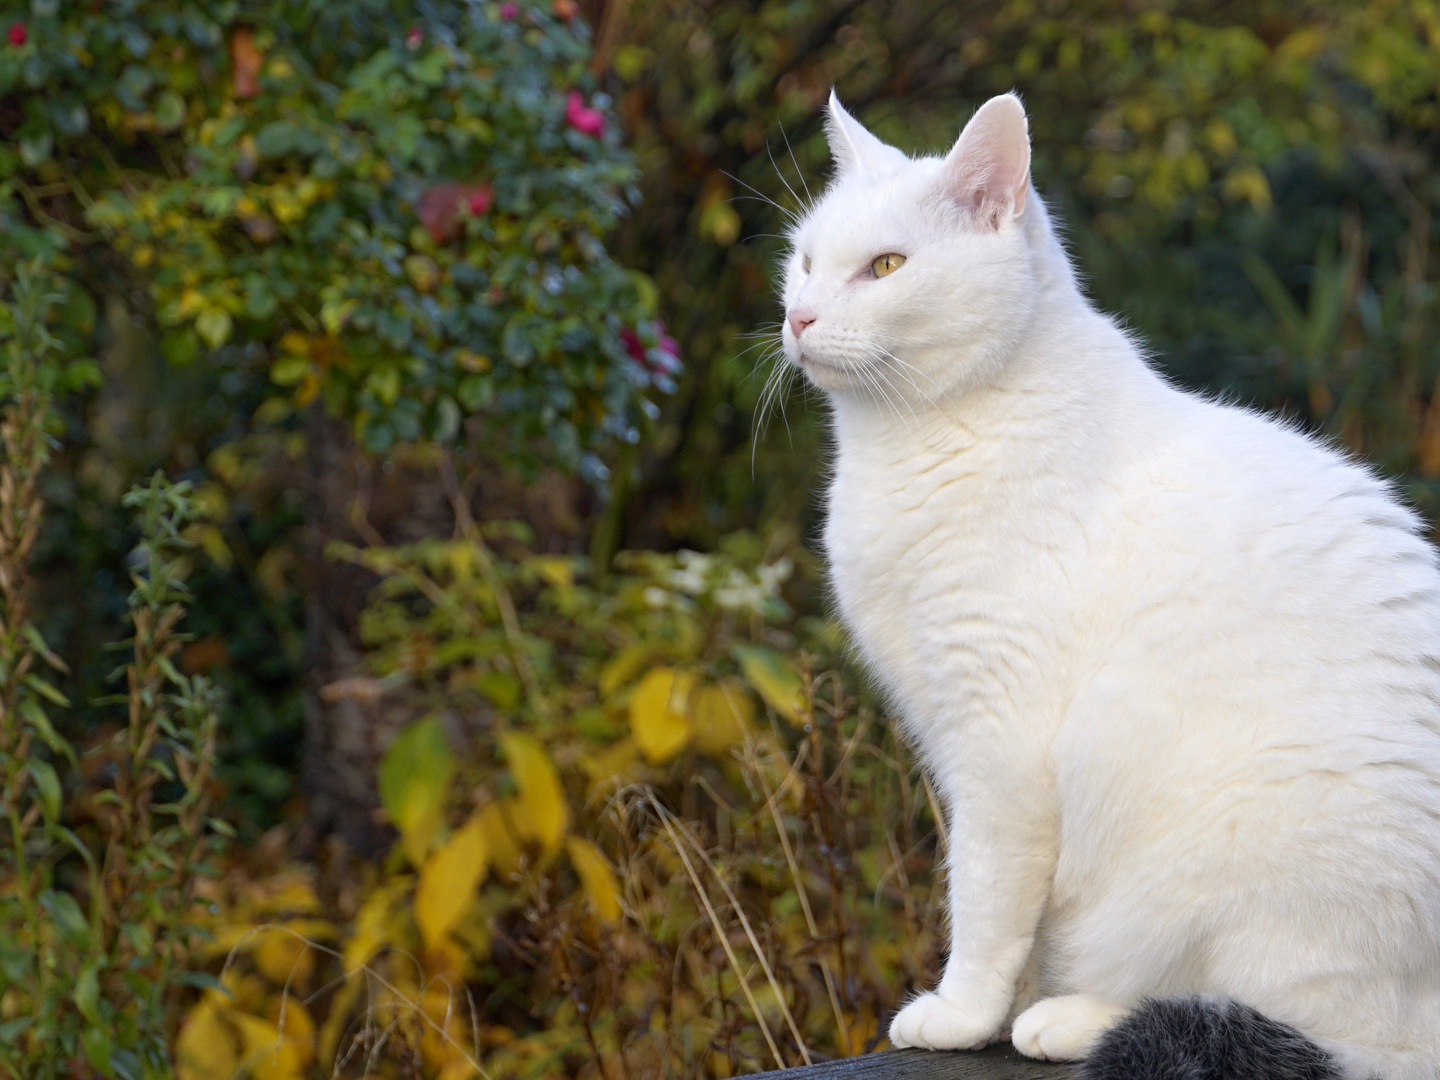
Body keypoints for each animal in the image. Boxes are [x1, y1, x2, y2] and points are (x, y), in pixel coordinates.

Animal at [783, 92, 1440, 1080]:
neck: (909, 441)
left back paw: (1069, 1020)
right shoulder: (950, 727)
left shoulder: (1001, 747)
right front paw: (995, 1008)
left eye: (887, 267)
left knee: (1315, 1031)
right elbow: (1014, 912)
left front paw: (964, 1013)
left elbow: (982, 897)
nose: (800, 317)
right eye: (806, 259)